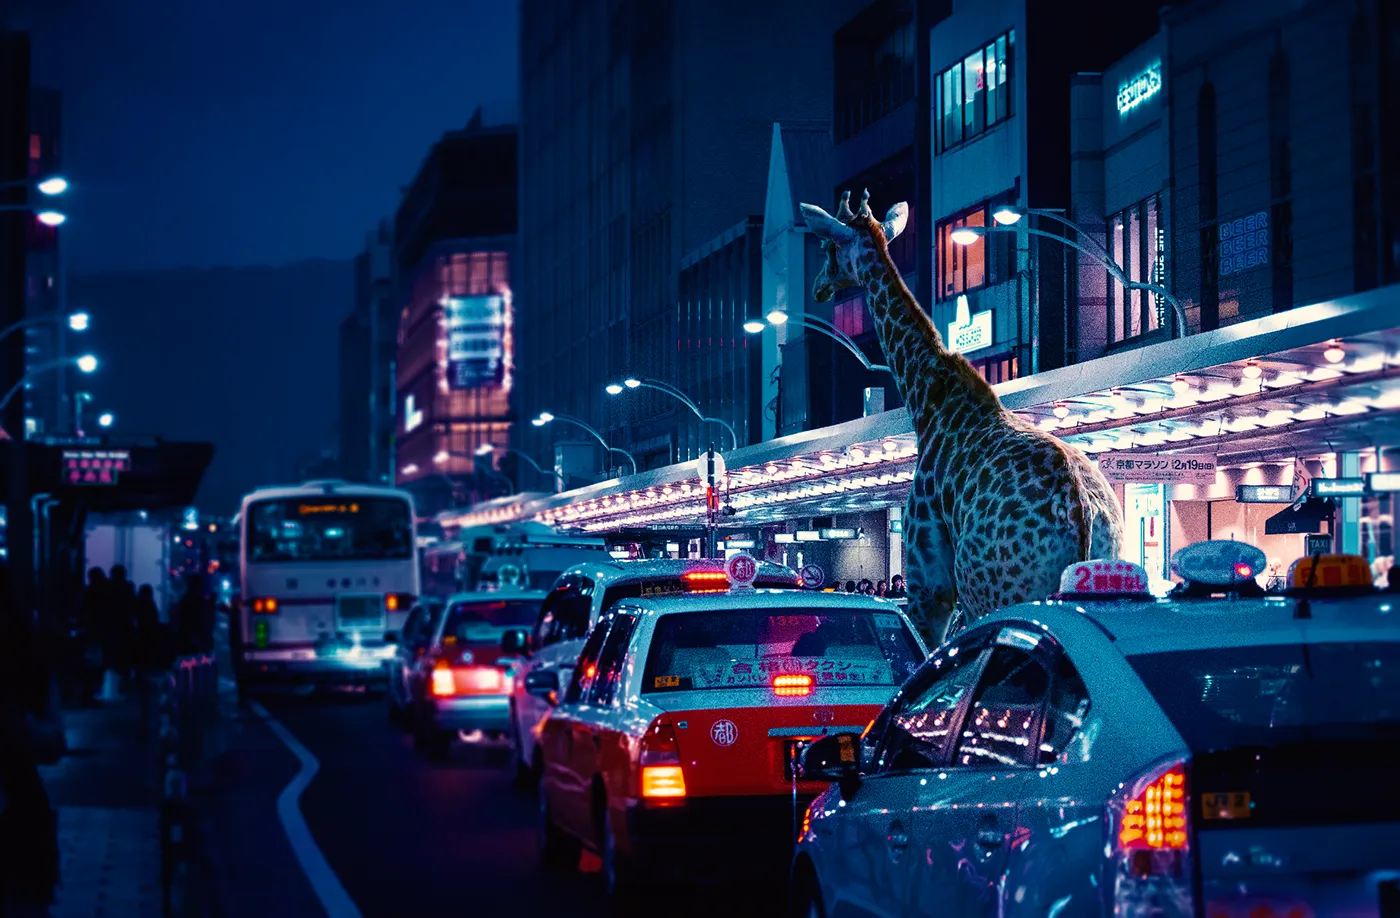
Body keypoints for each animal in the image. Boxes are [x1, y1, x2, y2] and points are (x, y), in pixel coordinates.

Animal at [800, 190, 1124, 643]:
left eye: (829, 247)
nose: (819, 288)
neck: (928, 400)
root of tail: (1082, 512)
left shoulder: (929, 584)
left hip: (990, 589)